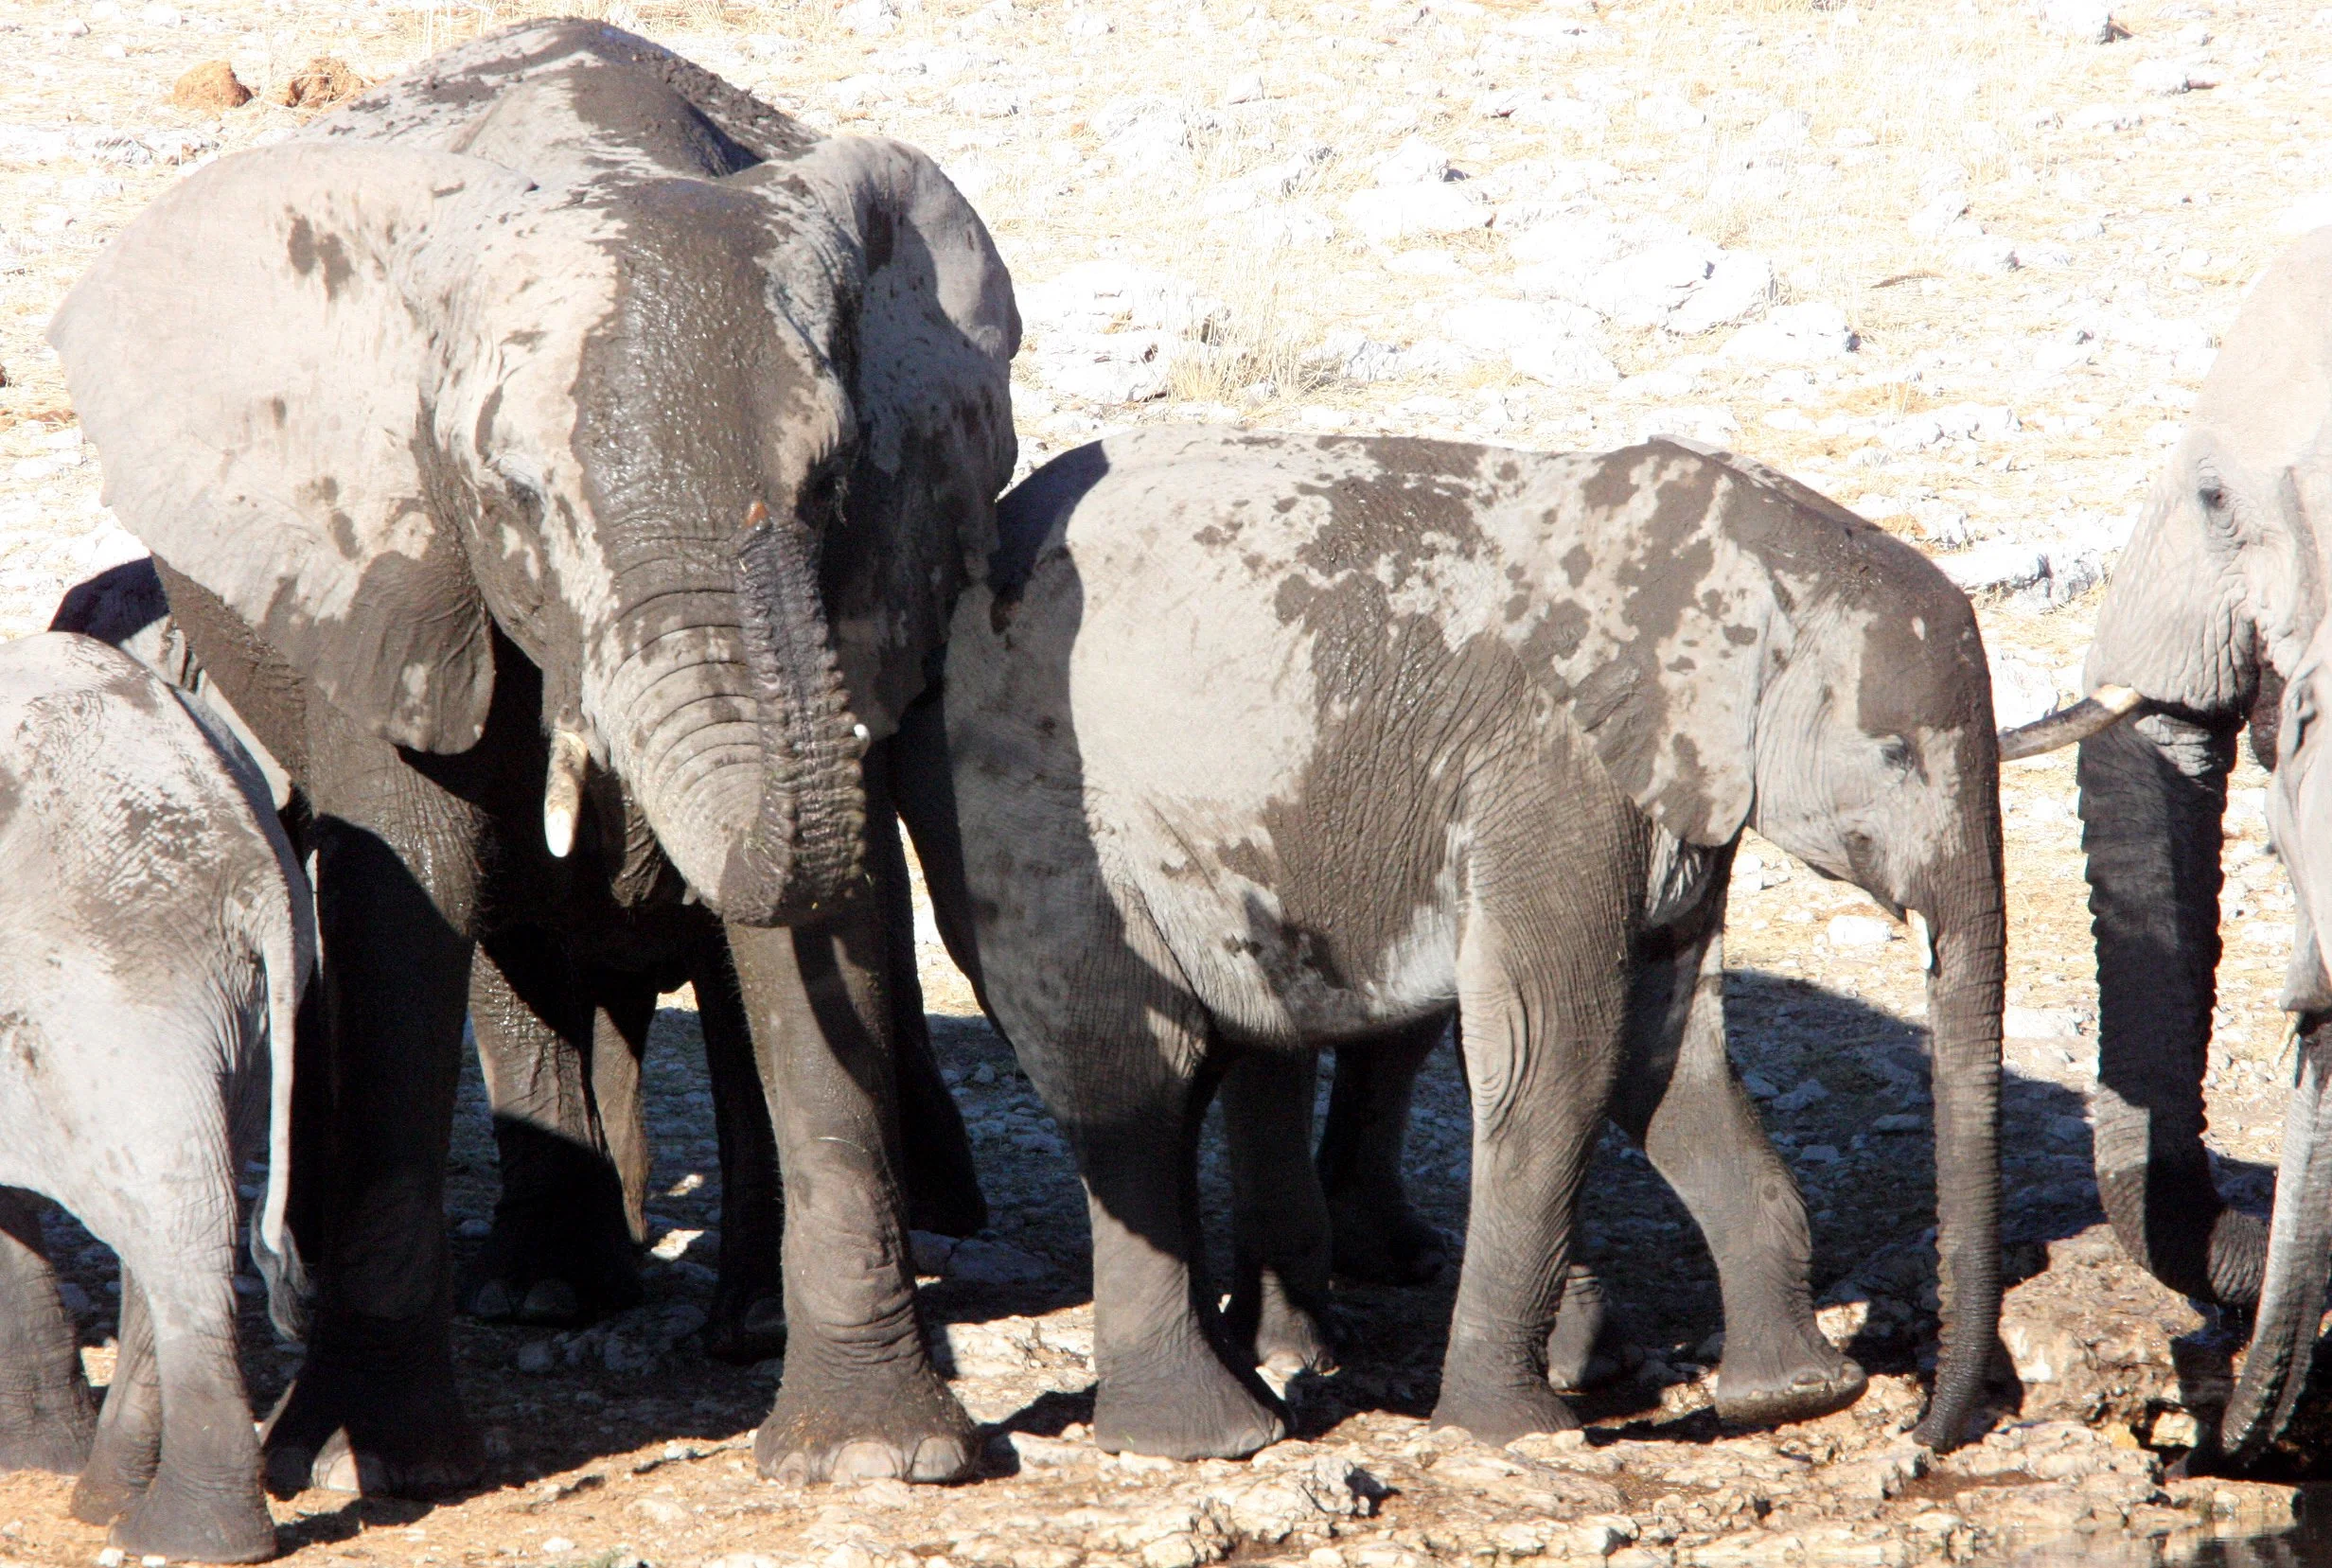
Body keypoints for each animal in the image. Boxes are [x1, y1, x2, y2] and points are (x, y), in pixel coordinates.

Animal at [0, 632, 313, 1562]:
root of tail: (256, 876)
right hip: (232, 1012)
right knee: (174, 1198)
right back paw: (104, 1499)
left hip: (112, 989)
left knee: (181, 1221)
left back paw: (182, 1536)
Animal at [48, 19, 1019, 1492]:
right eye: (515, 499)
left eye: (830, 478)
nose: (763, 550)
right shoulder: (384, 571)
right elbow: (406, 900)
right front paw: (371, 1468)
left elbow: (809, 945)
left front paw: (876, 1459)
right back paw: (547, 1297)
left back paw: (726, 1324)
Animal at [907, 428, 2007, 1458]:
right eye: (1895, 754)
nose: (1923, 1434)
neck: (1745, 539)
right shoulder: (1546, 770)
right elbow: (1555, 1049)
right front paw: (1512, 1433)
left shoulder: (1668, 786)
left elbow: (1665, 1050)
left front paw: (1794, 1395)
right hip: (1029, 814)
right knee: (1135, 1072)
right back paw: (1209, 1434)